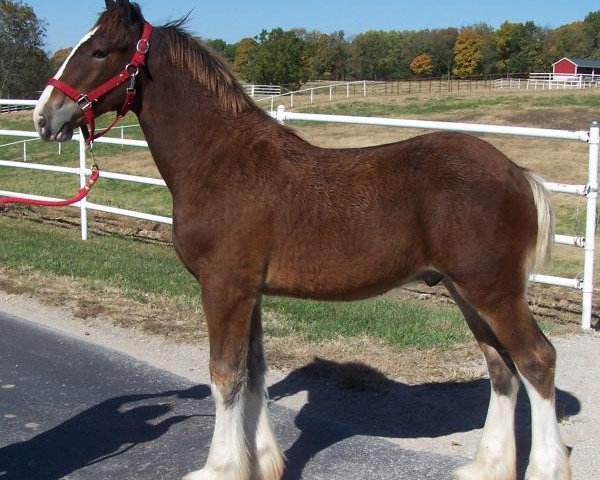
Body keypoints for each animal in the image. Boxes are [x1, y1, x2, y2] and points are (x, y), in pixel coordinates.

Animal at [32, 0, 572, 480]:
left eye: (100, 50)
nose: (43, 116)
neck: (220, 162)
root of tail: (519, 174)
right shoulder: (248, 293)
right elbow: (253, 373)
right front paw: (262, 463)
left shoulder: (223, 287)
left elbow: (224, 375)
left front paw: (220, 468)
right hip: (467, 293)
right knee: (502, 370)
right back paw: (485, 466)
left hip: (493, 292)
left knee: (536, 361)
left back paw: (545, 468)